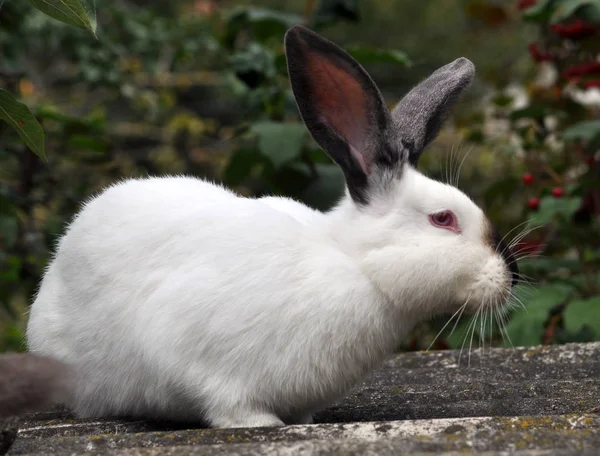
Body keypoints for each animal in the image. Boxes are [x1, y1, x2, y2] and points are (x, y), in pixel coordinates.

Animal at [25, 26, 516, 428]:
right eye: (443, 219)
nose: (509, 277)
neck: (355, 264)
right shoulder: (197, 356)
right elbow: (228, 403)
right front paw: (264, 425)